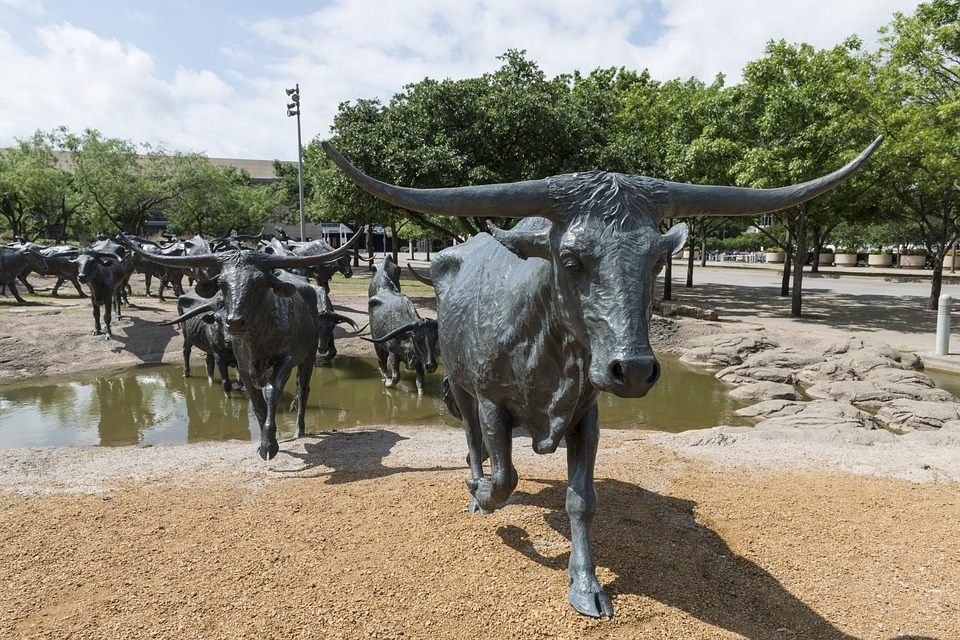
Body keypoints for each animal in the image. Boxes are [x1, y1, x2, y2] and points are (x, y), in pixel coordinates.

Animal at [117, 231, 361, 460]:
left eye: (260, 282)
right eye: (222, 283)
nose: (234, 322)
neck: (258, 340)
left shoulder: (287, 359)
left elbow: (272, 392)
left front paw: (271, 444)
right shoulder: (244, 367)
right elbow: (256, 402)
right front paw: (264, 443)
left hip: (307, 357)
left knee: (303, 390)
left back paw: (299, 430)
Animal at [367, 256, 439, 394]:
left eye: (435, 339)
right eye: (418, 340)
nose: (431, 366)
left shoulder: (420, 361)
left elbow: (420, 383)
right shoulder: (393, 354)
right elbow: (396, 377)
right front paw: (387, 382)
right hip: (377, 345)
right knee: (381, 362)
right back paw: (384, 376)